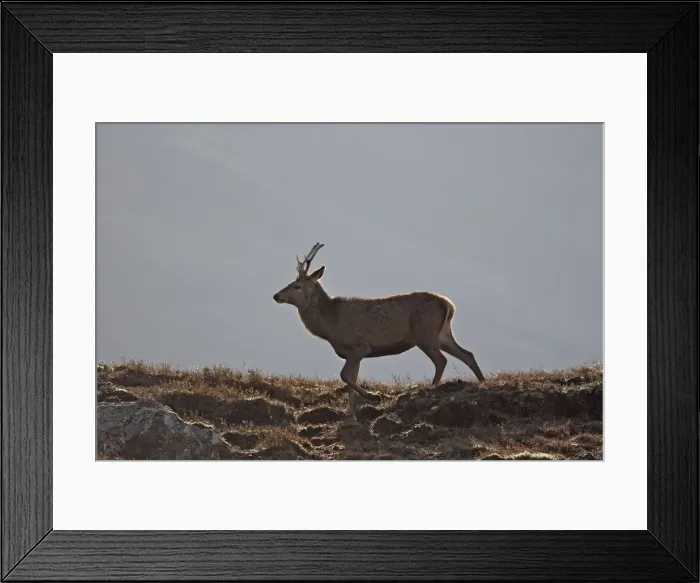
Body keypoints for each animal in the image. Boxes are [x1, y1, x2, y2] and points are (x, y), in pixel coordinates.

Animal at [273, 242, 486, 412]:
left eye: (297, 286)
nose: (276, 295)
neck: (329, 325)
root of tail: (448, 305)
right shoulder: (352, 353)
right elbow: (351, 380)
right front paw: (351, 413)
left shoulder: (359, 345)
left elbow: (344, 376)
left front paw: (373, 396)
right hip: (442, 334)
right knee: (467, 354)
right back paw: (482, 382)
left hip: (425, 334)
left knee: (441, 361)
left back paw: (431, 389)